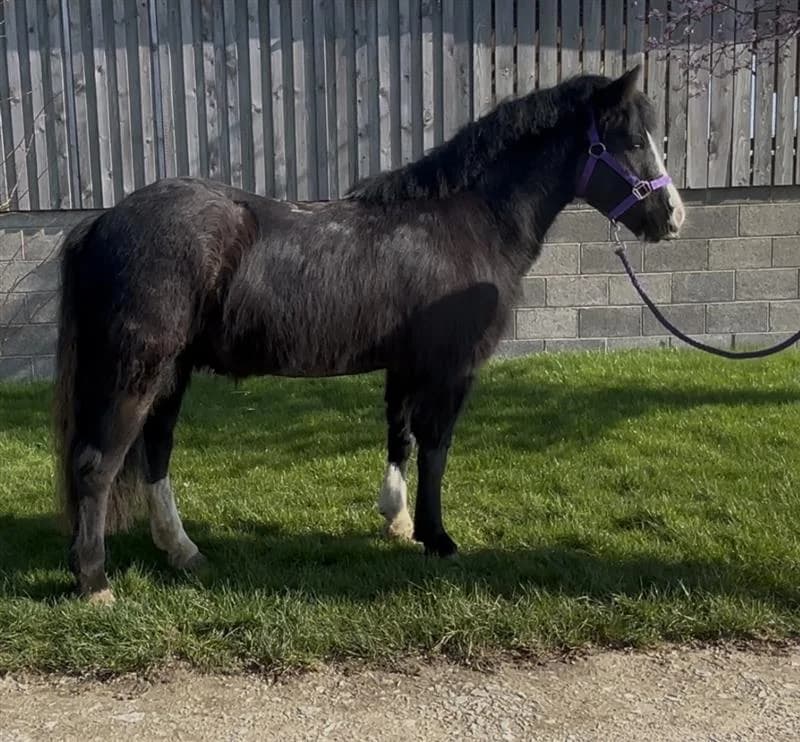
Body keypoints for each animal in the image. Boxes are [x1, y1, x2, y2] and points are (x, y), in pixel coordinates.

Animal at [54, 65, 685, 602]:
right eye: (632, 141)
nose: (673, 217)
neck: (467, 221)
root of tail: (102, 221)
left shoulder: (405, 365)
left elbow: (398, 437)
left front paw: (397, 521)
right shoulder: (451, 369)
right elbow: (435, 447)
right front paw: (438, 539)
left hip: (171, 372)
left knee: (154, 453)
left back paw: (182, 552)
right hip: (137, 371)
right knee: (97, 465)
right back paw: (95, 582)